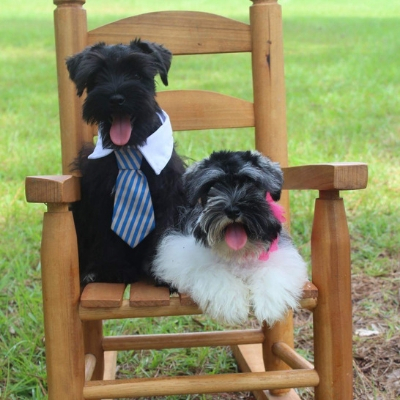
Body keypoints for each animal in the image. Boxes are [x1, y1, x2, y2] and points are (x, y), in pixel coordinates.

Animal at [67, 39, 186, 284]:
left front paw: (160, 270)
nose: (116, 99)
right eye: (96, 76)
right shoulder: (99, 199)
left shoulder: (170, 195)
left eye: (137, 74)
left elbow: (164, 233)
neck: (130, 149)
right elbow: (105, 235)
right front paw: (113, 268)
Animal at [152, 150, 306, 324]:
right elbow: (216, 274)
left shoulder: (282, 256)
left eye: (249, 182)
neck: (236, 253)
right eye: (213, 185)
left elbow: (271, 272)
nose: (232, 210)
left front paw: (269, 305)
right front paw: (233, 305)